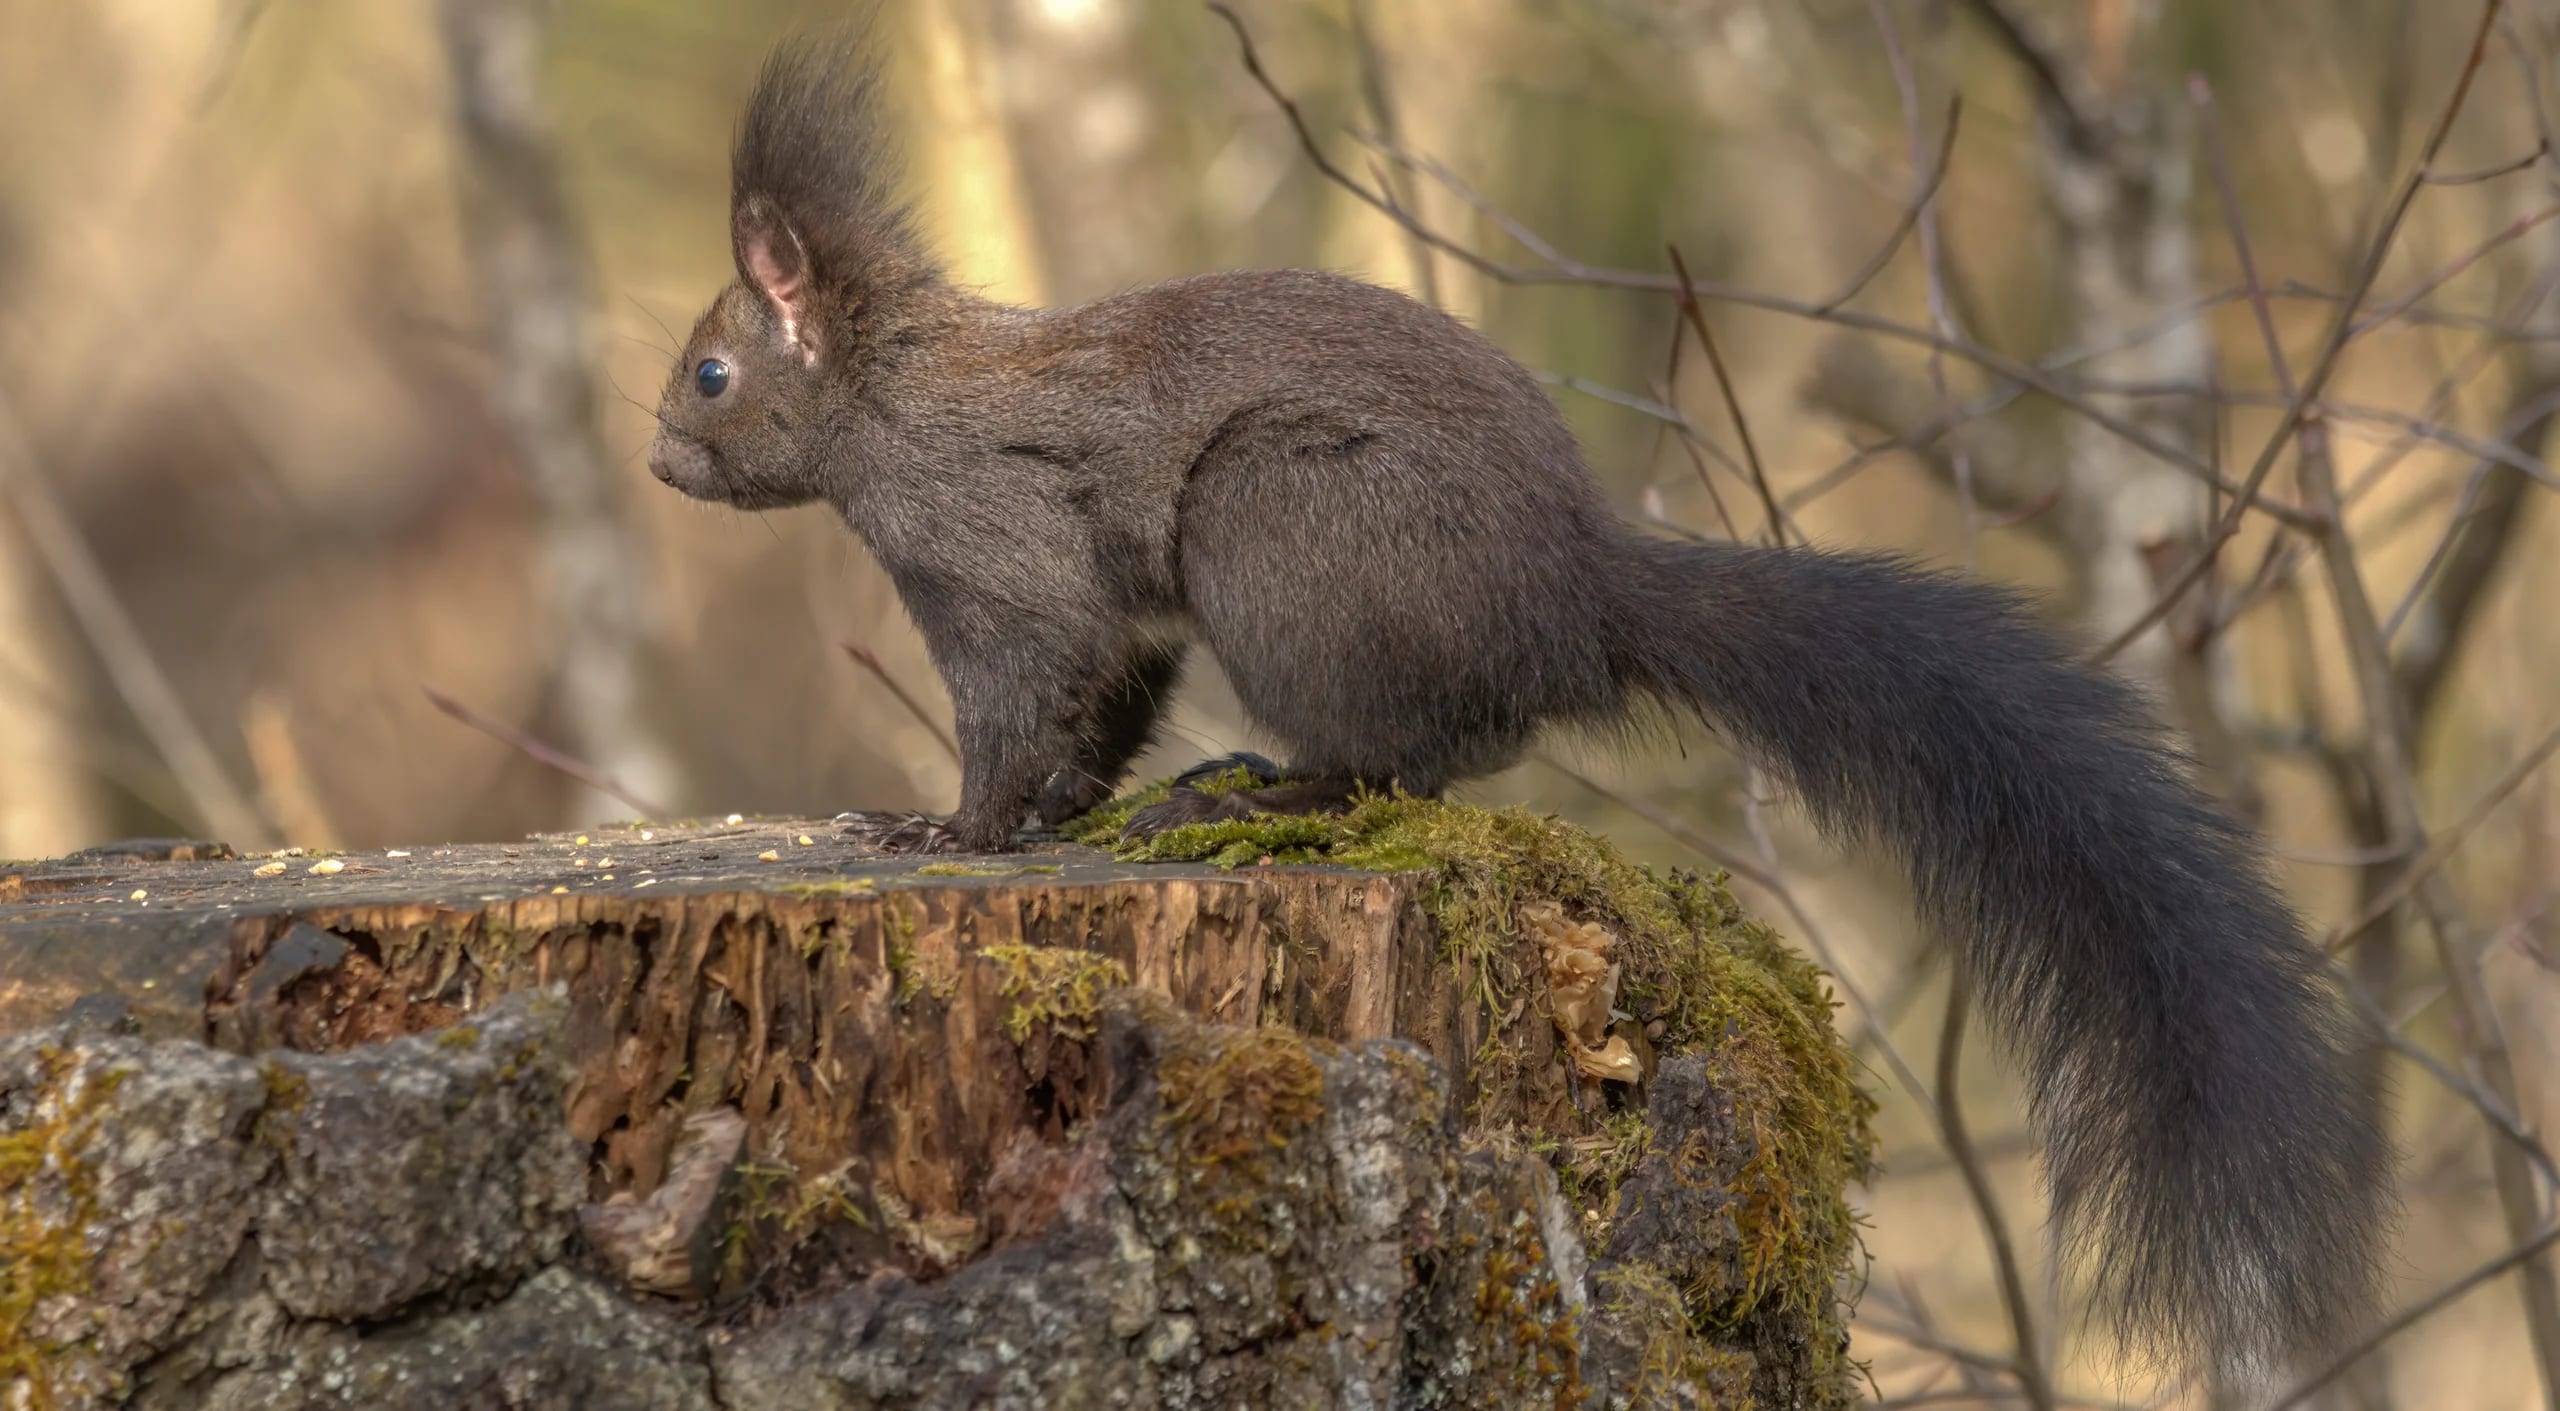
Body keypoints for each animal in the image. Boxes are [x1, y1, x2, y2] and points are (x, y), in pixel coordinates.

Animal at [646, 33, 2391, 1384]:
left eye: (712, 377)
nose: (658, 463)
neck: (886, 390)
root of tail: (1576, 590)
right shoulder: (1105, 618)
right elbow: (1104, 706)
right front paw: (1056, 811)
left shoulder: (999, 555)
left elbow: (1025, 702)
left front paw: (944, 824)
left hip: (1281, 529)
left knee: (1421, 751)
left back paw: (1267, 791)